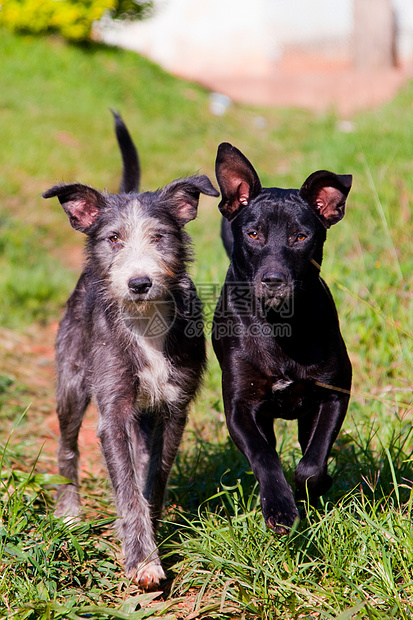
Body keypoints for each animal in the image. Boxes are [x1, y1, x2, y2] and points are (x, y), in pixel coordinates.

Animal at [43, 114, 219, 588]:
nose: (139, 283)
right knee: (67, 447)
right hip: (72, 381)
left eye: (159, 237)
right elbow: (125, 485)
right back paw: (68, 512)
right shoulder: (114, 409)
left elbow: (152, 477)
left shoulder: (174, 406)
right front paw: (143, 559)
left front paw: (152, 536)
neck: (145, 321)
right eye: (114, 238)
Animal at [212, 142, 350, 532]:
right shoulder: (240, 408)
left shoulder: (334, 394)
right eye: (253, 234)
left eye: (301, 237)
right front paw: (279, 507)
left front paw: (310, 489)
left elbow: (312, 463)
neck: (280, 326)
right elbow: (264, 456)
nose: (273, 280)